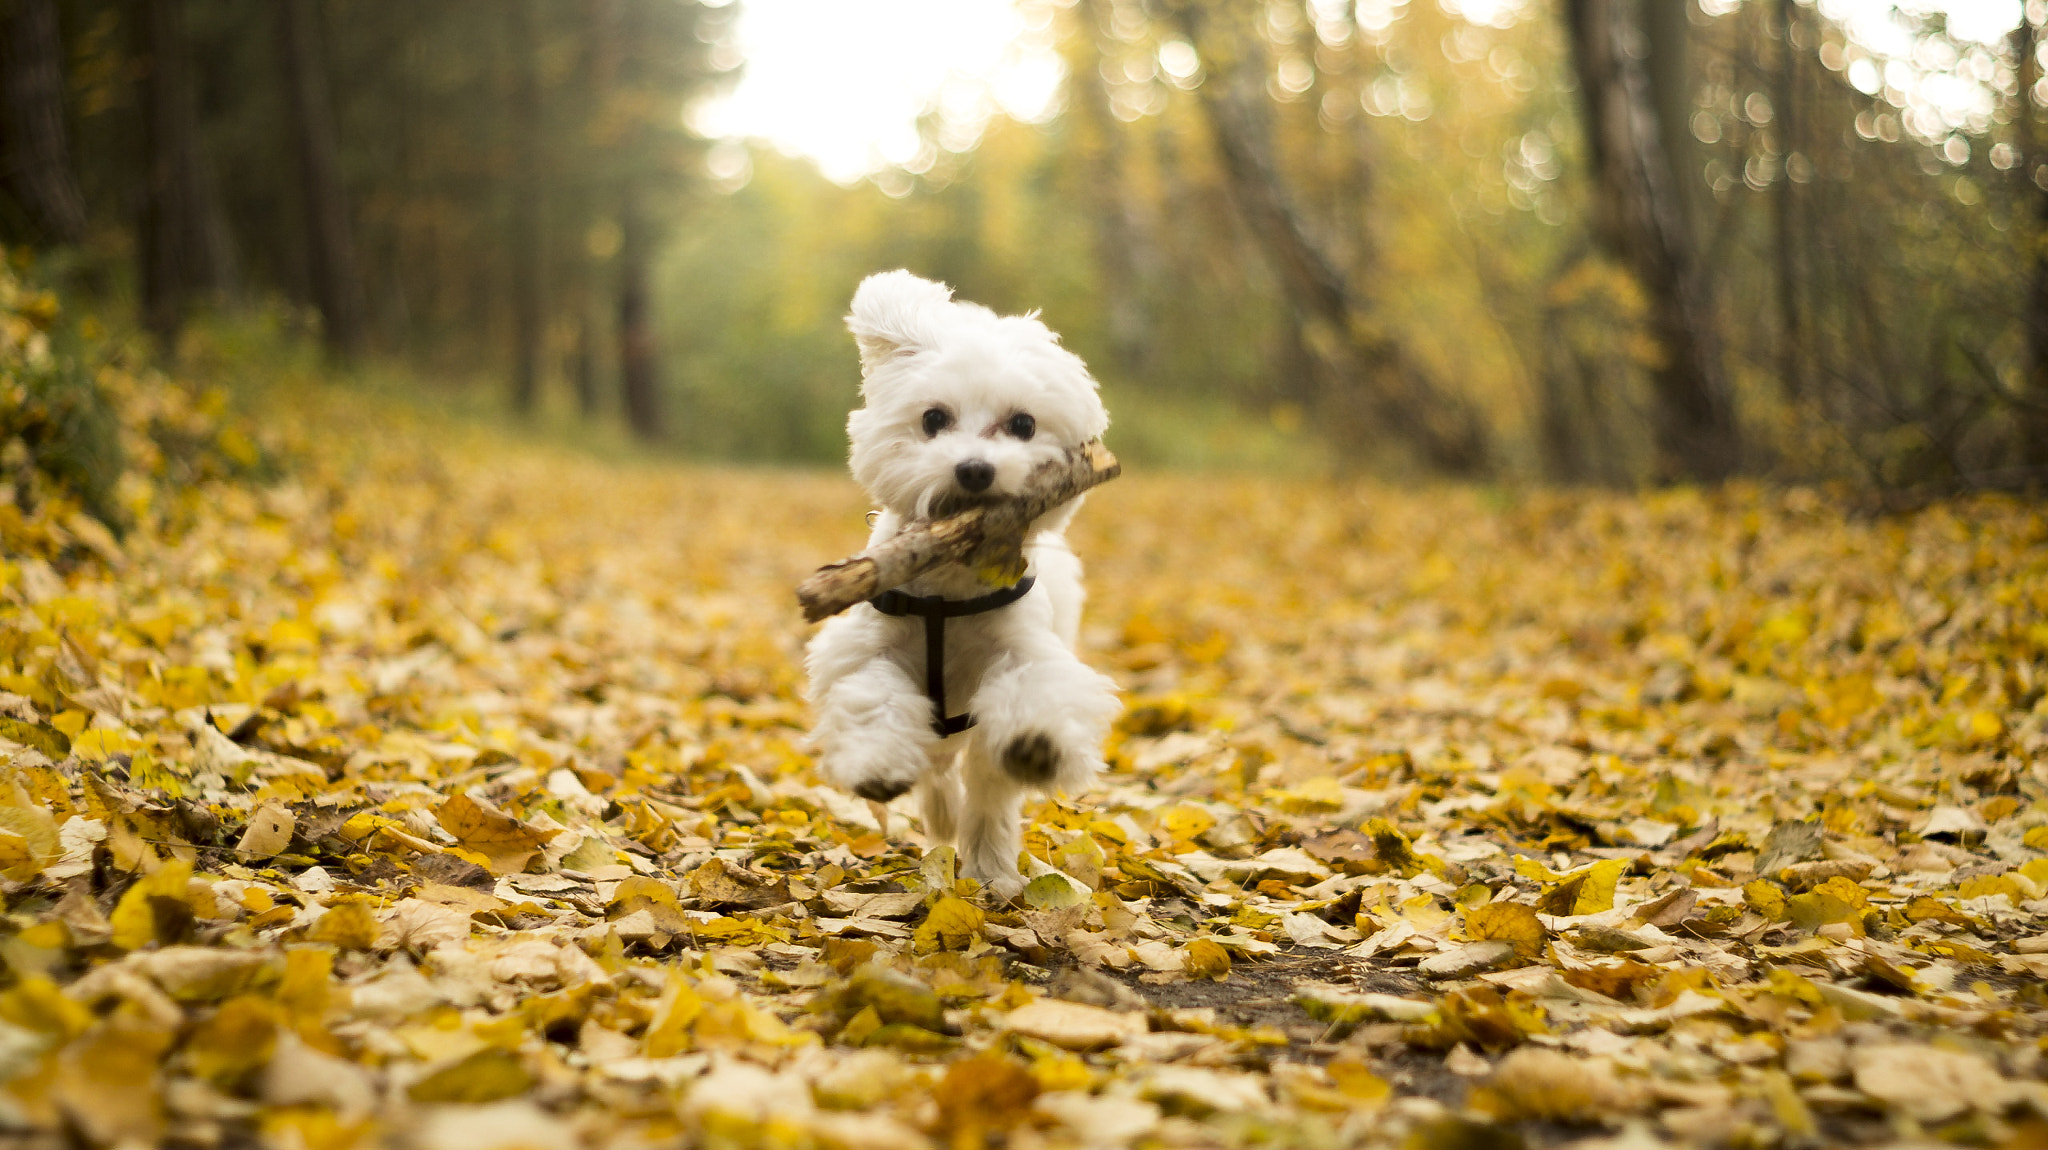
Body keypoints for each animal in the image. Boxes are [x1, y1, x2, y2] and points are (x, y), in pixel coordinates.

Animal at [802, 270, 1122, 896]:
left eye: (1023, 424)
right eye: (933, 419)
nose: (974, 468)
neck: (948, 589)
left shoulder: (1022, 652)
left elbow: (1031, 700)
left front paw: (1037, 745)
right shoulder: (868, 649)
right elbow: (876, 698)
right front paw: (878, 763)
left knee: (987, 789)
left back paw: (990, 867)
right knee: (941, 774)